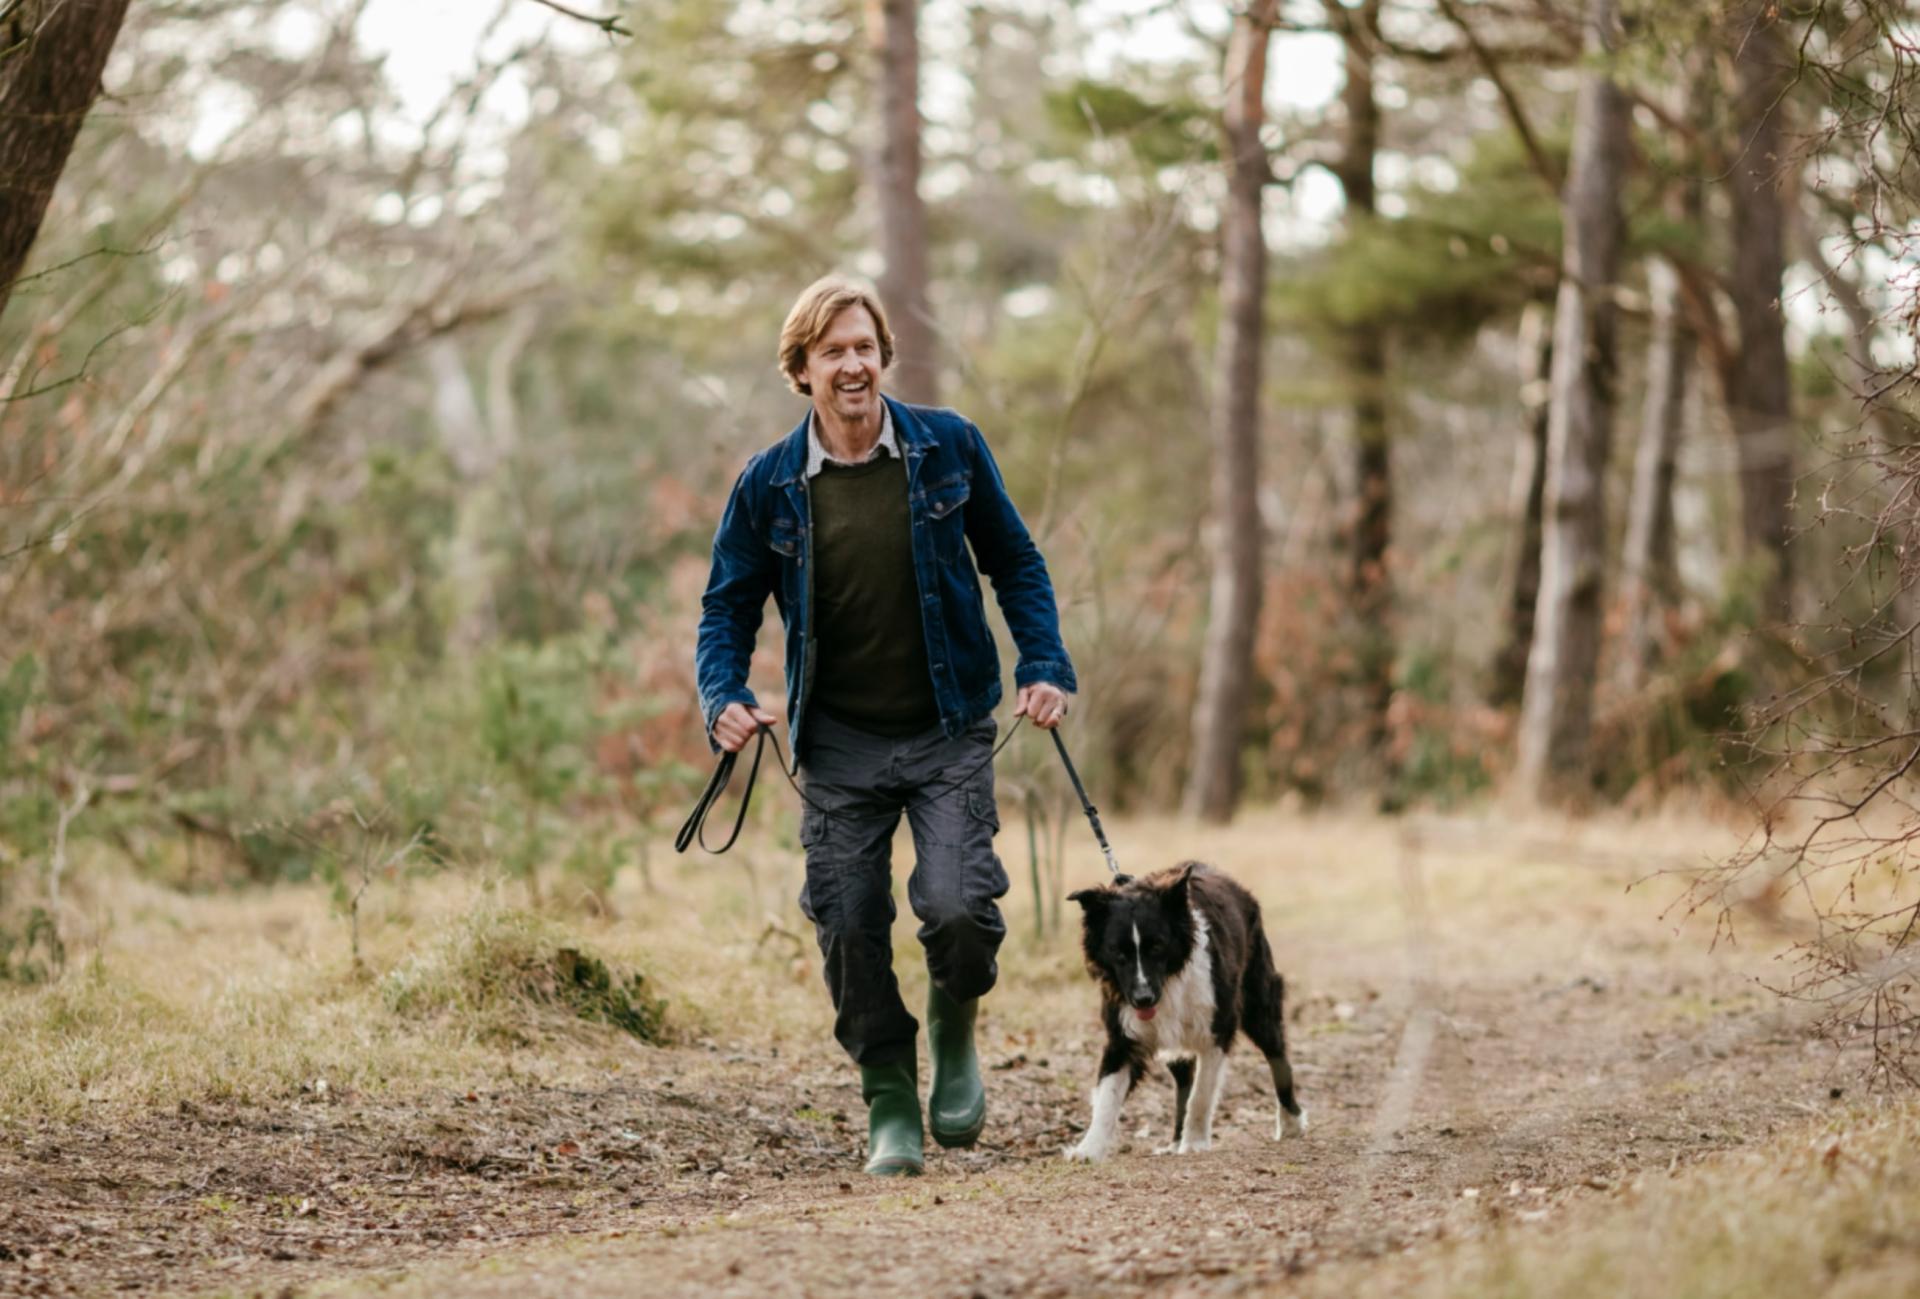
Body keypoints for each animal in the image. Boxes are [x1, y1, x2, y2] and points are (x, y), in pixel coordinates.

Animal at [1059, 859, 1313, 1158]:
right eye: (1117, 951)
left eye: (1157, 946)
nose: (1143, 999)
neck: (1169, 981)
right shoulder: (1123, 1035)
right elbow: (1107, 1097)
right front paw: (1088, 1149)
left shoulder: (1217, 1028)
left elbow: (1201, 1094)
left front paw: (1195, 1142)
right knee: (1182, 1080)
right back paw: (1175, 1140)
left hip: (1258, 1003)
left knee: (1277, 1056)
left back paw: (1291, 1122)